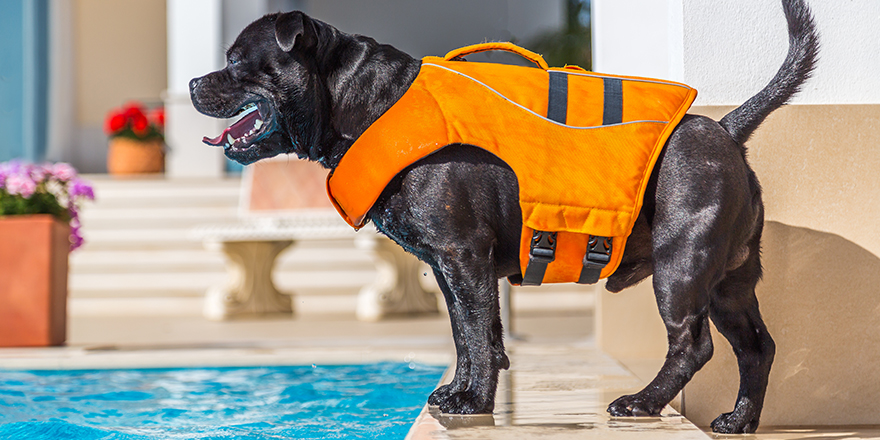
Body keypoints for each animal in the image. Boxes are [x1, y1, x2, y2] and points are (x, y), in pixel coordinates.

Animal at [192, 0, 820, 434]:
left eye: (235, 62)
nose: (195, 81)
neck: (362, 102)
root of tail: (727, 129)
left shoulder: (461, 258)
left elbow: (472, 333)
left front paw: (472, 402)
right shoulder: (454, 270)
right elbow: (473, 335)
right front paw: (461, 394)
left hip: (681, 268)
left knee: (693, 345)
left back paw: (642, 403)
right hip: (729, 282)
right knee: (756, 347)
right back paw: (739, 421)